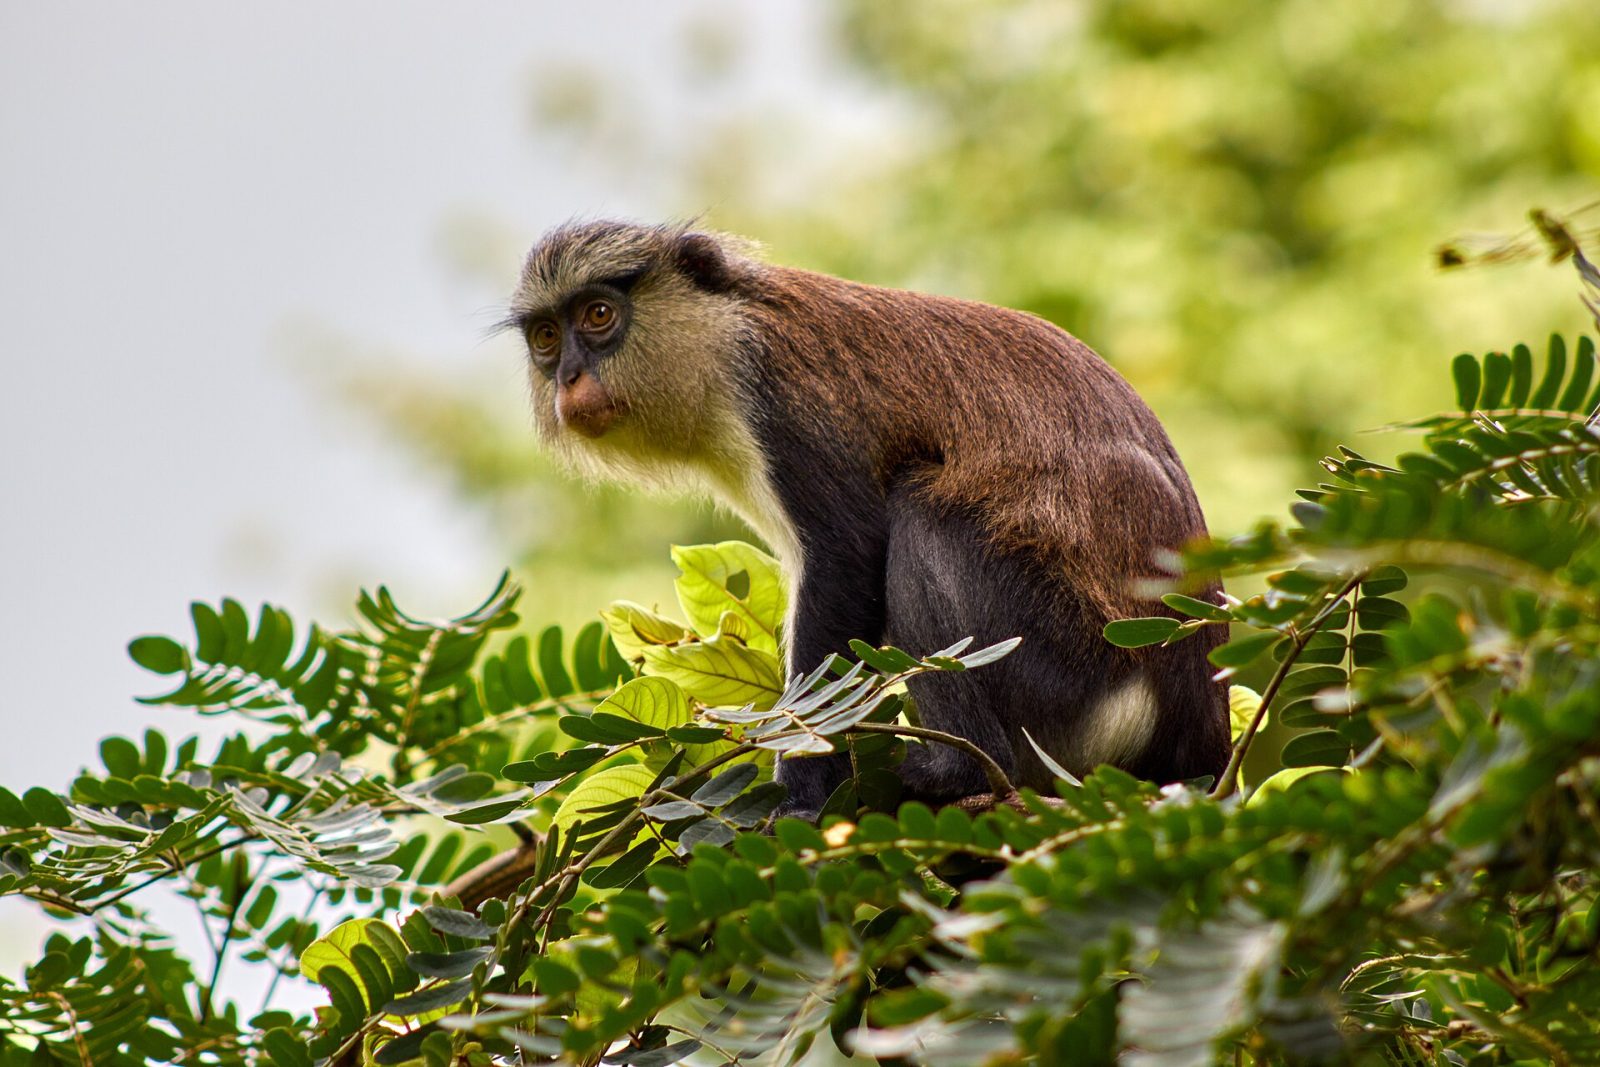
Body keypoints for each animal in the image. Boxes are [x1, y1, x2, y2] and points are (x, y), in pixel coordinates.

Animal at [506, 220, 1230, 819]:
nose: (569, 378)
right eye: (546, 337)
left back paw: (954, 770)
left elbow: (844, 560)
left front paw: (797, 796)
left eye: (599, 314)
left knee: (922, 518)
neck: (725, 337)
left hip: (1070, 672)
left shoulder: (784, 400)